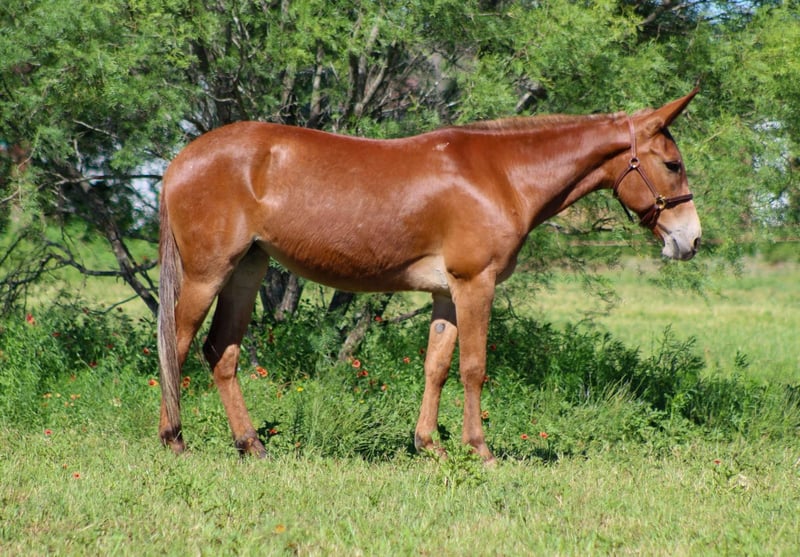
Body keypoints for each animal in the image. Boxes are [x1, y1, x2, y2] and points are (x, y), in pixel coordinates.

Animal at [158, 90, 701, 462]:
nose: (691, 240)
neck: (502, 174)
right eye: (673, 164)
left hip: (247, 270)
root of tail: (180, 161)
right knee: (176, 344)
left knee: (220, 353)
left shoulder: (445, 293)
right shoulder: (475, 283)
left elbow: (436, 366)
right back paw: (174, 440)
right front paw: (479, 449)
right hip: (207, 274)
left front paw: (429, 446)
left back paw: (250, 445)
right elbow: (473, 367)